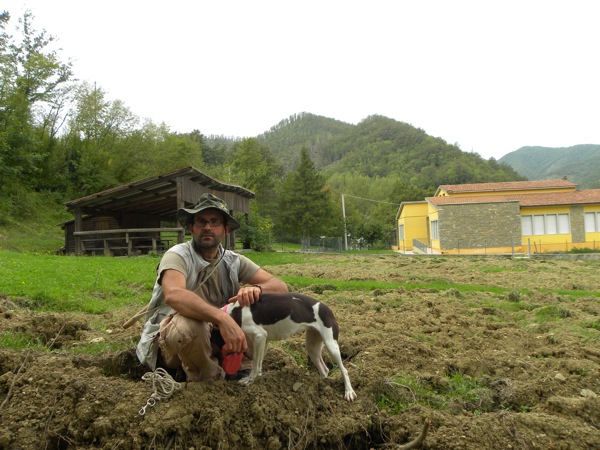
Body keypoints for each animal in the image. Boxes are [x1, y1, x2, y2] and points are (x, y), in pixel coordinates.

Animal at [224, 292, 356, 400]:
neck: (235, 312)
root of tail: (328, 308)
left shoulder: (260, 336)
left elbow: (255, 363)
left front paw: (249, 380)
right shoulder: (263, 341)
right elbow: (259, 363)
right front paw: (259, 379)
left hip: (331, 345)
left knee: (344, 370)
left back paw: (349, 391)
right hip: (312, 346)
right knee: (325, 369)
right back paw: (320, 386)